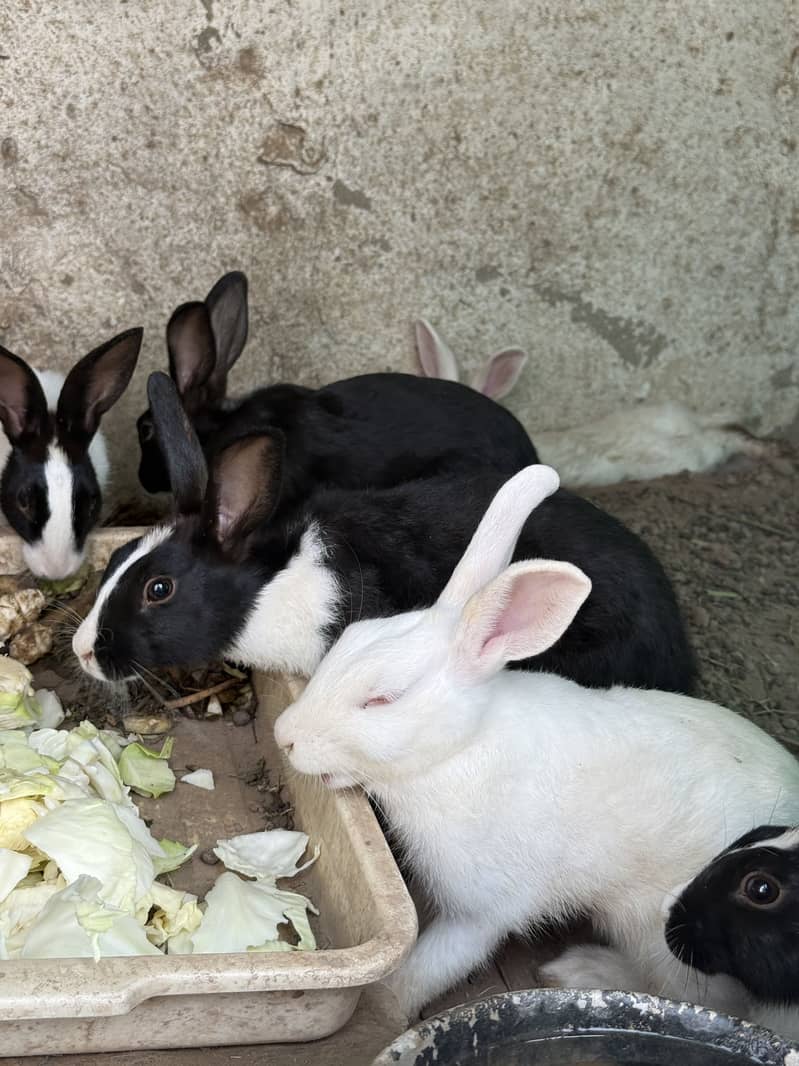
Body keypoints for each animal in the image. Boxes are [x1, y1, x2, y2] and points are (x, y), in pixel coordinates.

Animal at [271, 463, 799, 1029]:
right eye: (346, 642)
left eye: (381, 699)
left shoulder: (482, 909)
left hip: (661, 934)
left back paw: (584, 970)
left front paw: (385, 1011)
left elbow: (430, 967)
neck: (457, 751)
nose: (286, 735)